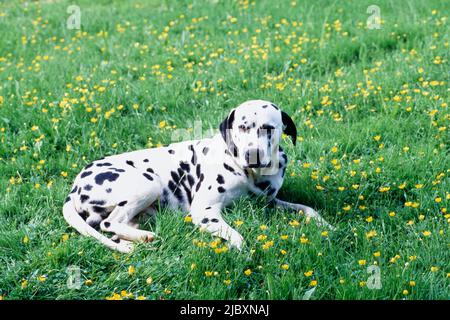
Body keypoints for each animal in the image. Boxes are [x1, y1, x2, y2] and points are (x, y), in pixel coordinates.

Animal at [65, 100, 336, 252]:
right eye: (242, 126)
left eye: (268, 128)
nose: (252, 154)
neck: (250, 174)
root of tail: (74, 188)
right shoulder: (206, 212)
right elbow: (236, 235)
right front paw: (239, 248)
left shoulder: (270, 202)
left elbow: (308, 209)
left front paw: (326, 225)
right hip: (148, 184)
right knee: (109, 223)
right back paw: (142, 237)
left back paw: (135, 241)